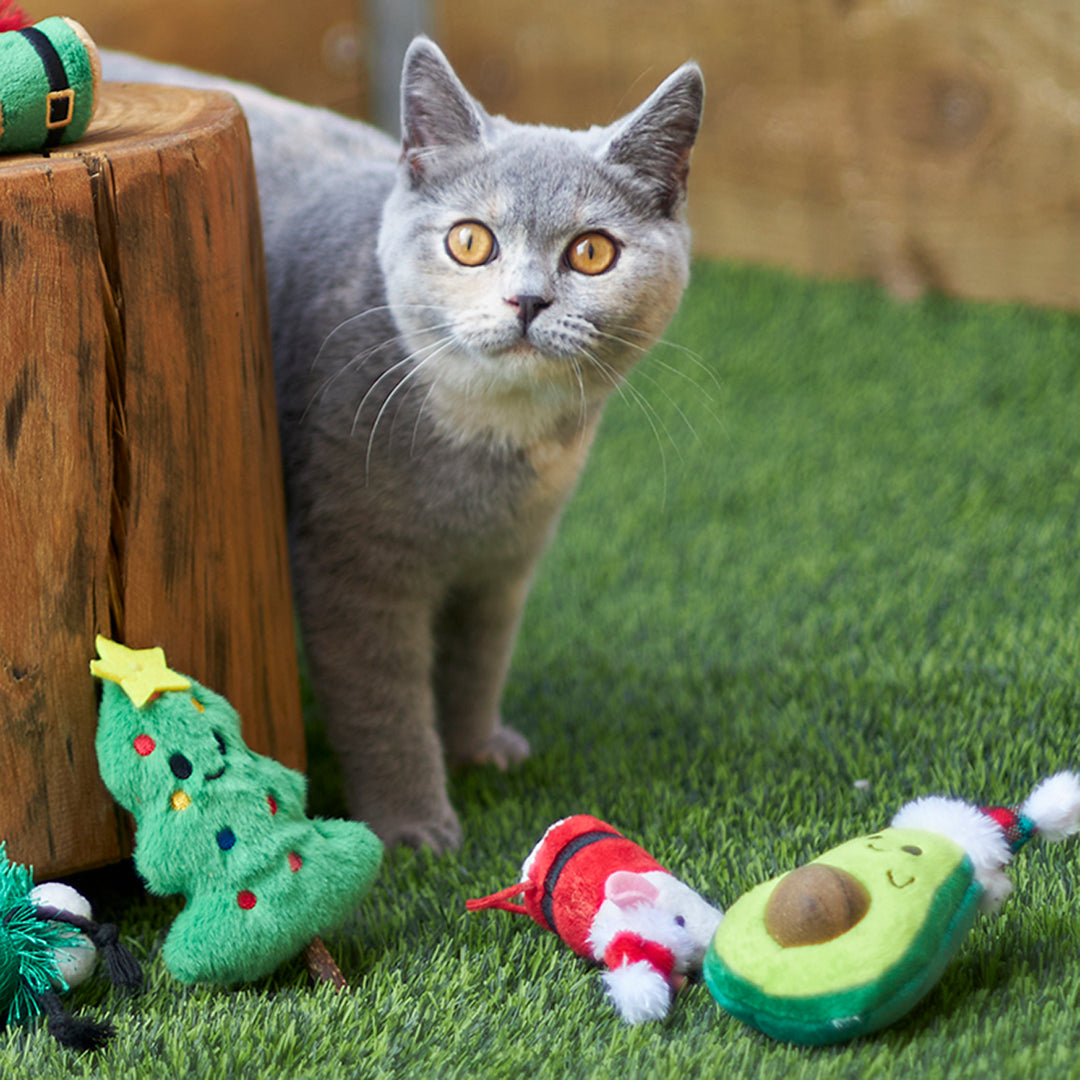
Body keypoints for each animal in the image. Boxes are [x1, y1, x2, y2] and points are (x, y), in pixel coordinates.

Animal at [101, 39, 704, 851]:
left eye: (592, 252)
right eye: (471, 241)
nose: (526, 300)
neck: (489, 447)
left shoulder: (504, 565)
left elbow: (478, 660)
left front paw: (478, 747)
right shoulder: (351, 569)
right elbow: (384, 706)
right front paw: (415, 825)